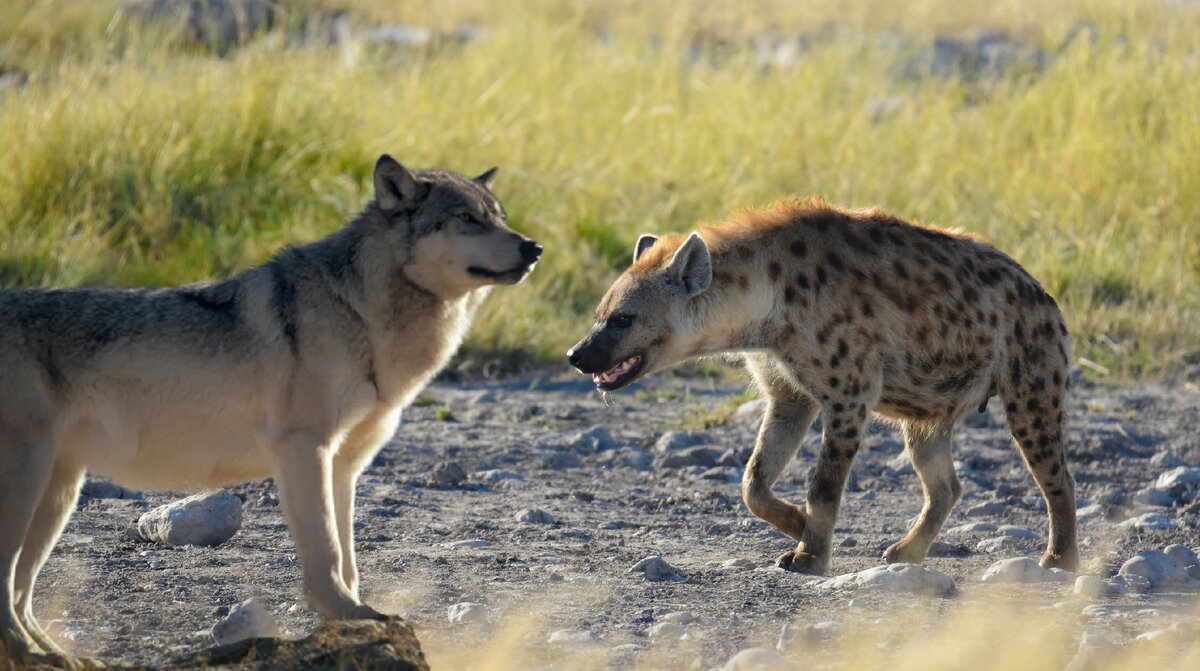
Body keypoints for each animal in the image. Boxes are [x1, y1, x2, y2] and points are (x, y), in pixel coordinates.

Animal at [0, 154, 544, 657]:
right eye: (467, 219)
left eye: (499, 216)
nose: (534, 247)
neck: (360, 313)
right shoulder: (303, 450)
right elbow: (326, 554)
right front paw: (349, 617)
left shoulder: (344, 466)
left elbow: (349, 558)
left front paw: (355, 619)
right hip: (32, 486)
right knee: (8, 591)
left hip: (58, 497)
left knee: (20, 594)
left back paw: (57, 658)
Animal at [568, 196, 1080, 576]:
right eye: (598, 315)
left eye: (623, 319)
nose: (576, 355)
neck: (768, 308)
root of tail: (1045, 295)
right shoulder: (788, 393)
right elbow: (753, 480)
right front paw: (797, 524)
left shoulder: (849, 394)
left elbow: (825, 484)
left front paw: (809, 556)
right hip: (927, 411)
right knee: (945, 484)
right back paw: (907, 551)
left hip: (1032, 382)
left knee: (1056, 475)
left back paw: (1060, 558)